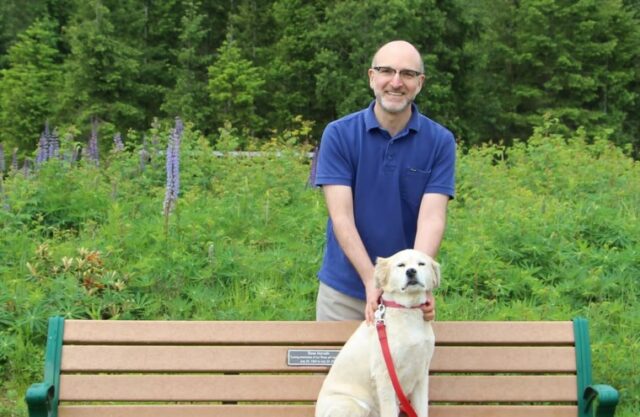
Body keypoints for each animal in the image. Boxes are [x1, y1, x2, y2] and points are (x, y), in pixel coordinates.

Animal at [316, 249, 440, 416]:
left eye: (421, 264)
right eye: (401, 265)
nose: (411, 272)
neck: (408, 311)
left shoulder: (421, 374)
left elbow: (422, 410)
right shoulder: (385, 376)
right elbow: (389, 411)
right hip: (353, 405)